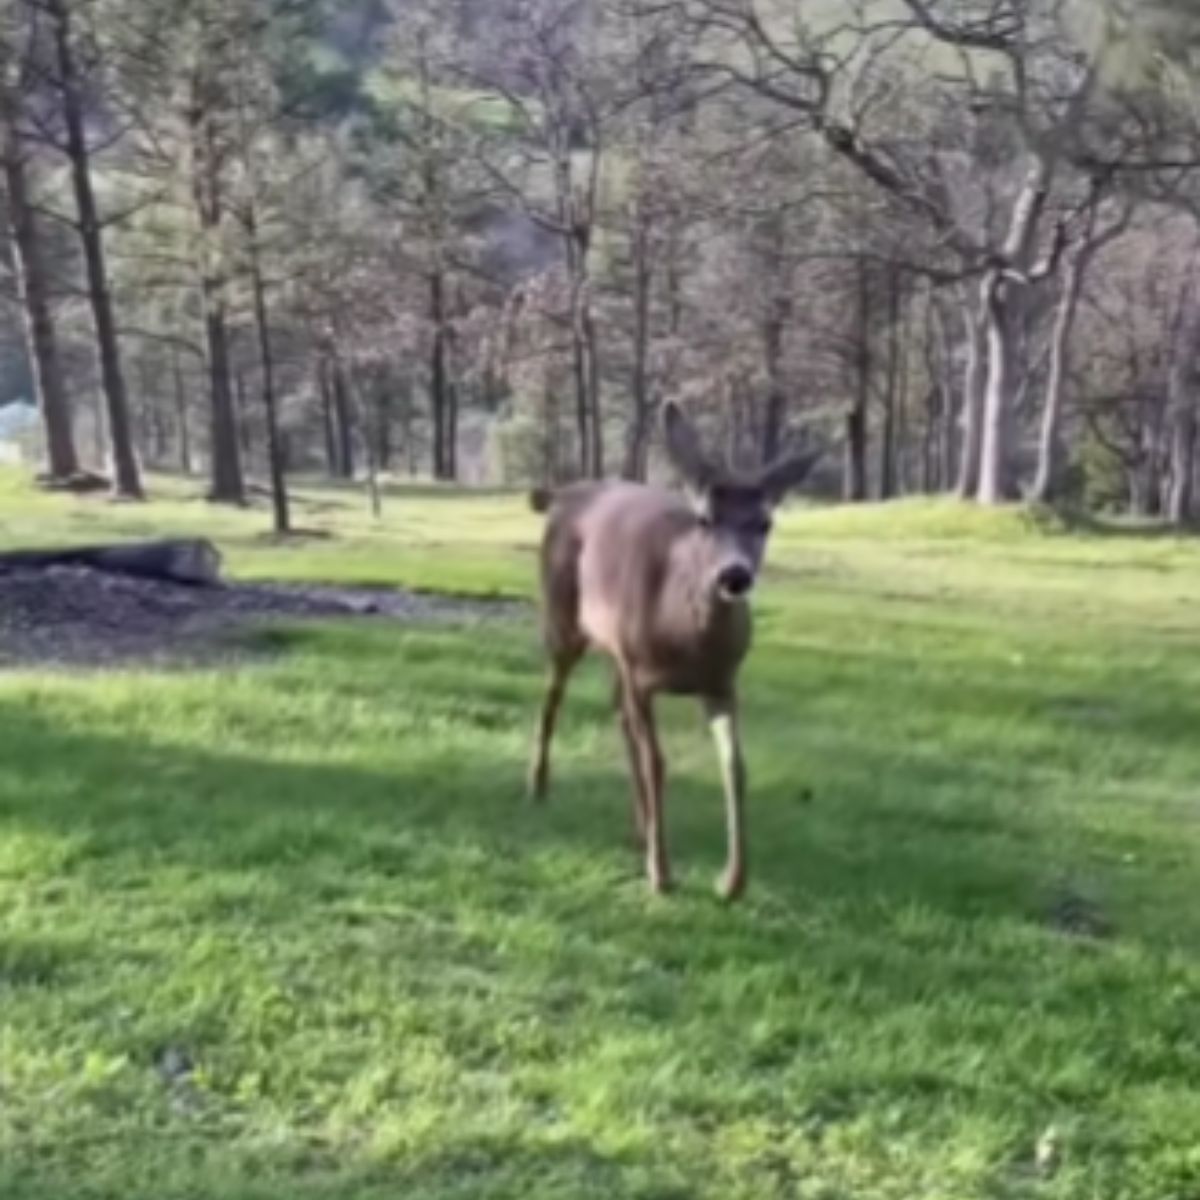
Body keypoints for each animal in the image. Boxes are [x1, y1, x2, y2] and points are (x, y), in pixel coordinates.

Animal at [525, 403, 816, 902]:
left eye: (765, 523)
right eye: (705, 520)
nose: (734, 576)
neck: (684, 638)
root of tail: (563, 493)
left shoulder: (722, 682)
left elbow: (735, 766)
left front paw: (732, 881)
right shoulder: (641, 673)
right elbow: (656, 763)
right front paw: (662, 874)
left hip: (614, 650)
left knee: (617, 713)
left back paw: (639, 827)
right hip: (563, 619)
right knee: (553, 696)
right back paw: (539, 787)